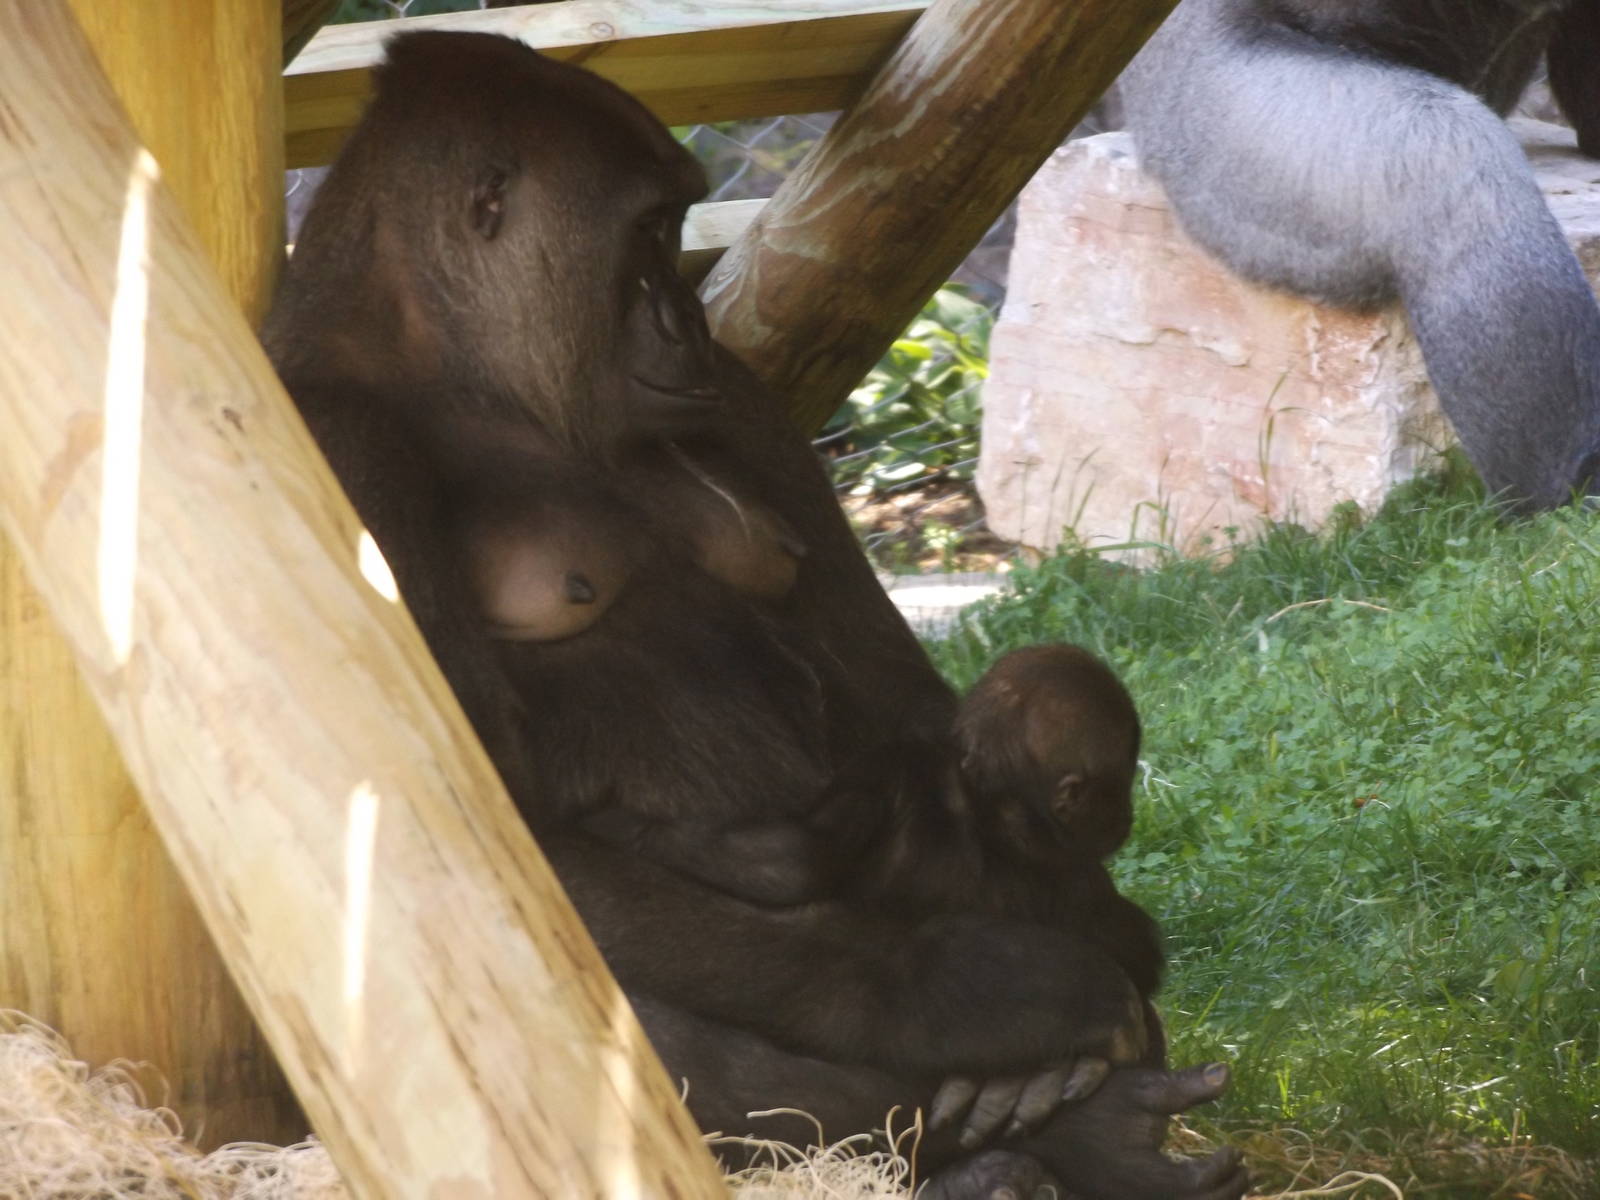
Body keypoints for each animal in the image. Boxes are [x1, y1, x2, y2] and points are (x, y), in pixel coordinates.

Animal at [261, 30, 1247, 1199]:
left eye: (677, 226)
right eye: (645, 230)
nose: (686, 319)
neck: (459, 367)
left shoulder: (737, 397)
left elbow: (903, 701)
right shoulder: (335, 441)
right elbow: (460, 826)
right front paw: (974, 991)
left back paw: (1078, 1135)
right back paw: (1026, 1136)